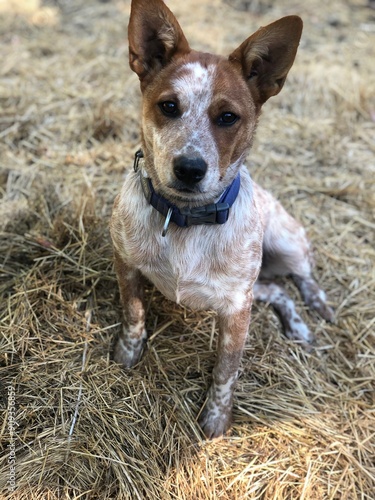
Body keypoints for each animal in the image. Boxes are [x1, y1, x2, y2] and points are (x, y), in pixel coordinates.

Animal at [109, 0, 334, 438]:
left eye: (228, 117)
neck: (184, 219)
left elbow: (226, 371)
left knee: (303, 275)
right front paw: (127, 355)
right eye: (169, 106)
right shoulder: (127, 264)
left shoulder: (235, 310)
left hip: (282, 244)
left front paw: (216, 419)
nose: (190, 168)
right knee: (278, 291)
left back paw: (315, 308)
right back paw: (296, 324)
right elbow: (134, 315)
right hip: (256, 288)